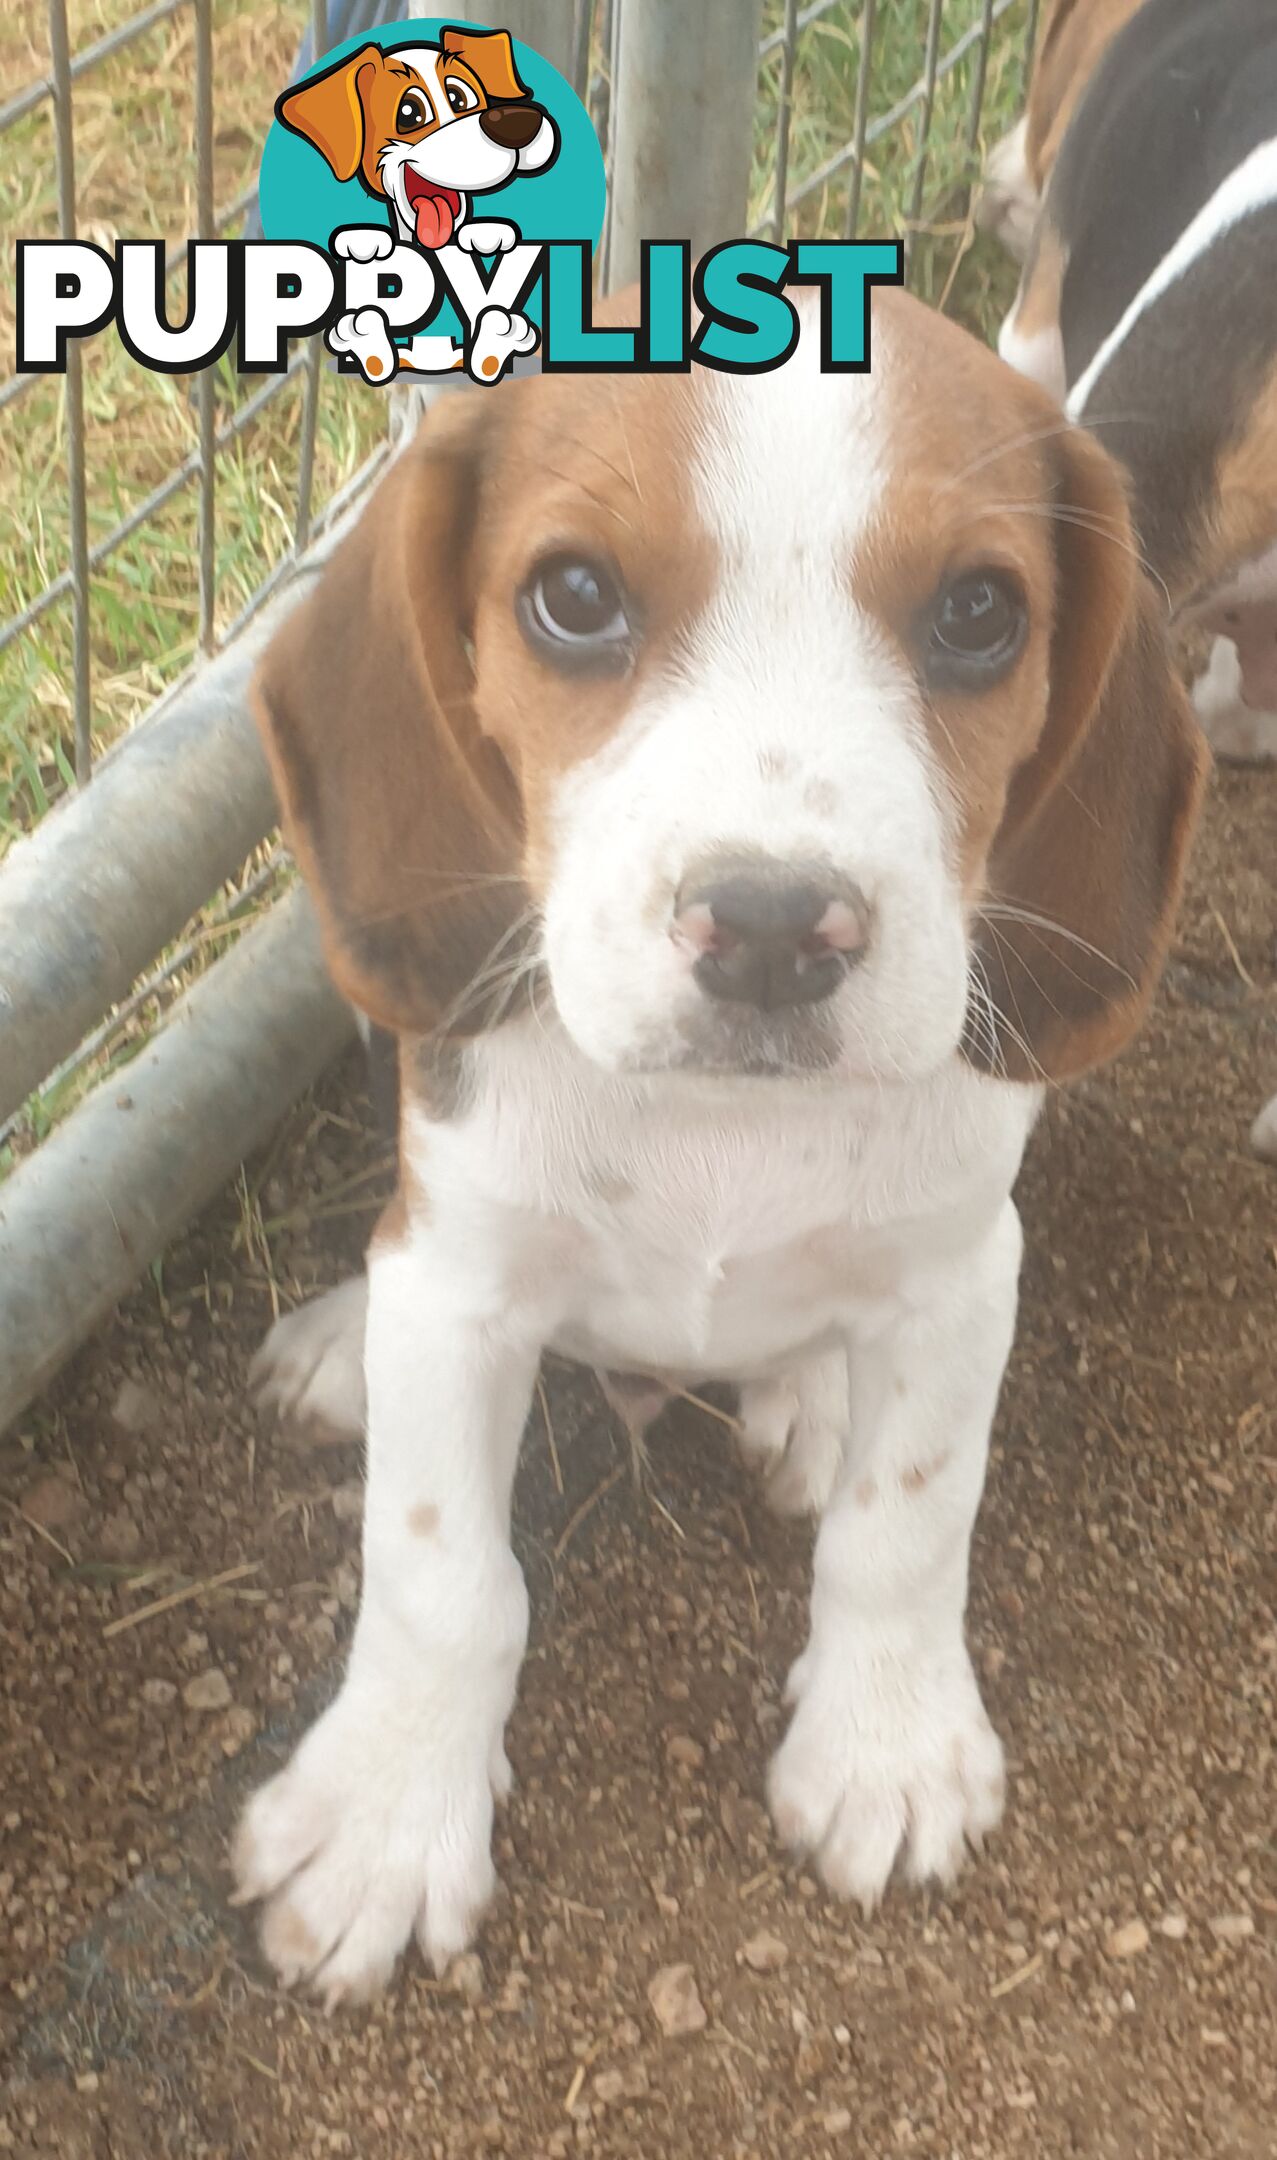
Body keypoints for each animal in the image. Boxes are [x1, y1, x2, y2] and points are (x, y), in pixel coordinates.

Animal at [232, 291, 1210, 2004]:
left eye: (978, 614)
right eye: (571, 597)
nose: (768, 926)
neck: (723, 1126)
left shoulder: (964, 1277)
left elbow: (909, 1522)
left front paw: (887, 1747)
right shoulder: (466, 1283)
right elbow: (439, 1574)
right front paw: (385, 1818)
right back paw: (346, 1337)